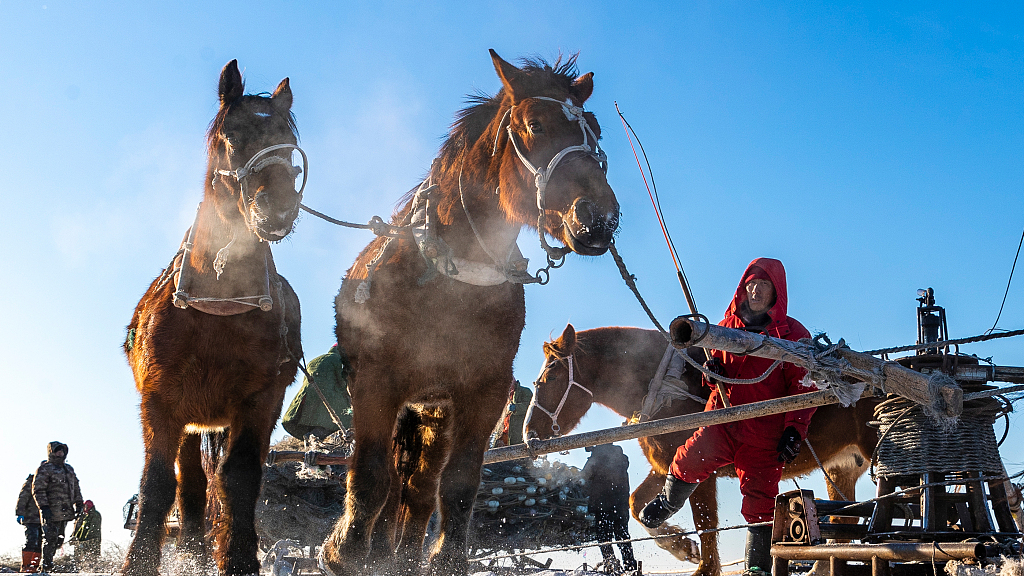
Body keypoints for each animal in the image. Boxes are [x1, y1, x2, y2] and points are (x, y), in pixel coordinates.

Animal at [120, 59, 303, 573]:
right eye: (233, 135)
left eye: (288, 137)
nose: (278, 207)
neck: (219, 308)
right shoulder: (160, 402)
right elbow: (159, 484)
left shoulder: (260, 402)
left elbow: (239, 480)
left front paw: (238, 558)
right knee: (190, 484)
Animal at [323, 49, 618, 573]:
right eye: (535, 124)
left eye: (596, 131)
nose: (599, 217)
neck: (447, 281)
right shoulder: (376, 381)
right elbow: (372, 474)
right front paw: (347, 551)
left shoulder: (484, 391)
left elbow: (458, 484)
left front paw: (444, 557)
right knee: (395, 482)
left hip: (434, 414)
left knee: (419, 491)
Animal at [524, 323, 876, 573]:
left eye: (551, 377)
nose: (529, 433)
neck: (665, 386)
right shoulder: (667, 465)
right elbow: (640, 504)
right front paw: (680, 546)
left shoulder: (703, 472)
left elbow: (706, 524)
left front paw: (701, 561)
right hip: (840, 470)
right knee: (841, 521)